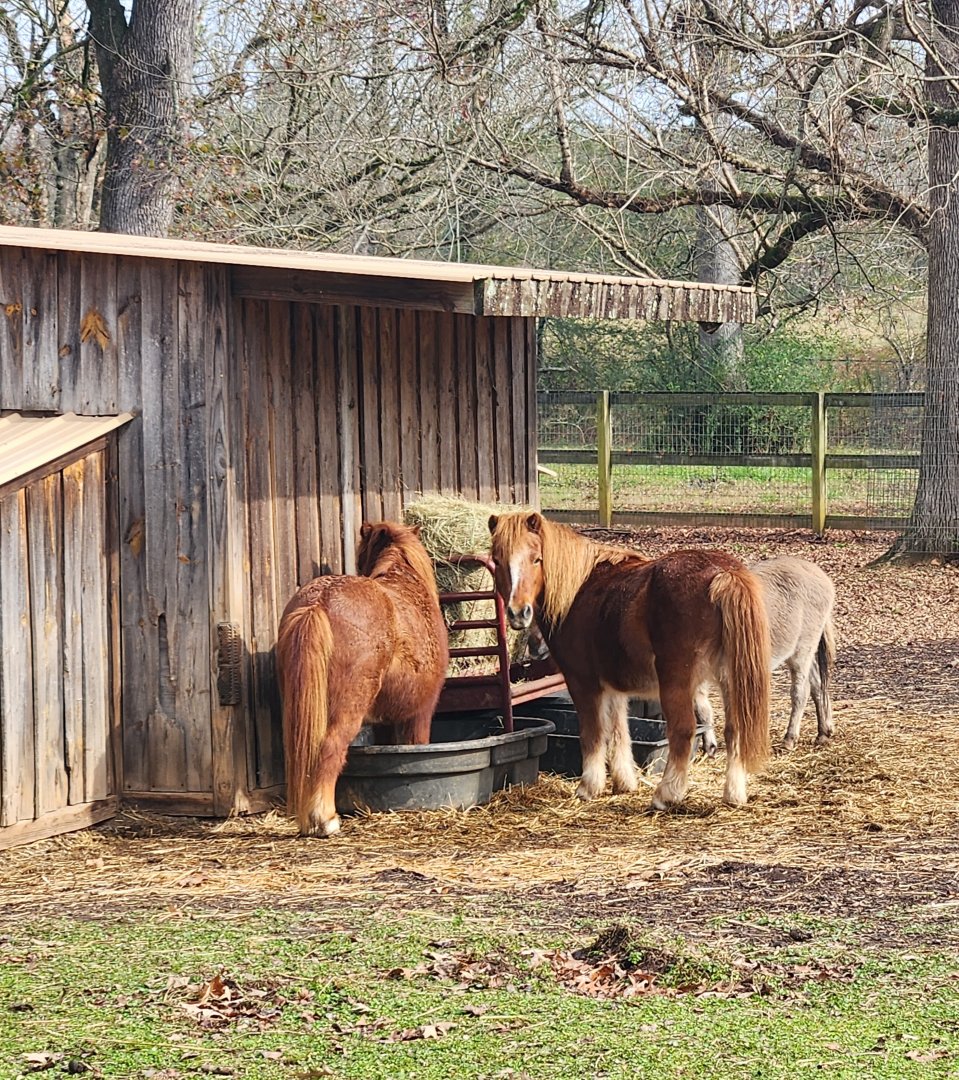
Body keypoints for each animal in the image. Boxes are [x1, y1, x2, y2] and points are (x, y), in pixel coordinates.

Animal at [488, 512, 772, 809]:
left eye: (537, 559)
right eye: (497, 560)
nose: (518, 613)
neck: (577, 591)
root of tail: (722, 574)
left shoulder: (583, 683)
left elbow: (593, 734)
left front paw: (588, 787)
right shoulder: (613, 687)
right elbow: (619, 731)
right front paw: (624, 782)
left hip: (677, 681)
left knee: (683, 731)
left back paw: (665, 795)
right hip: (730, 679)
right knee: (735, 730)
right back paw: (734, 795)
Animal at [695, 555, 836, 754]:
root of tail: (817, 572)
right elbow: (702, 710)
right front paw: (709, 747)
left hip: (802, 649)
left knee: (801, 691)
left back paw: (789, 739)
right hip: (802, 651)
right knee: (817, 685)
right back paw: (823, 733)